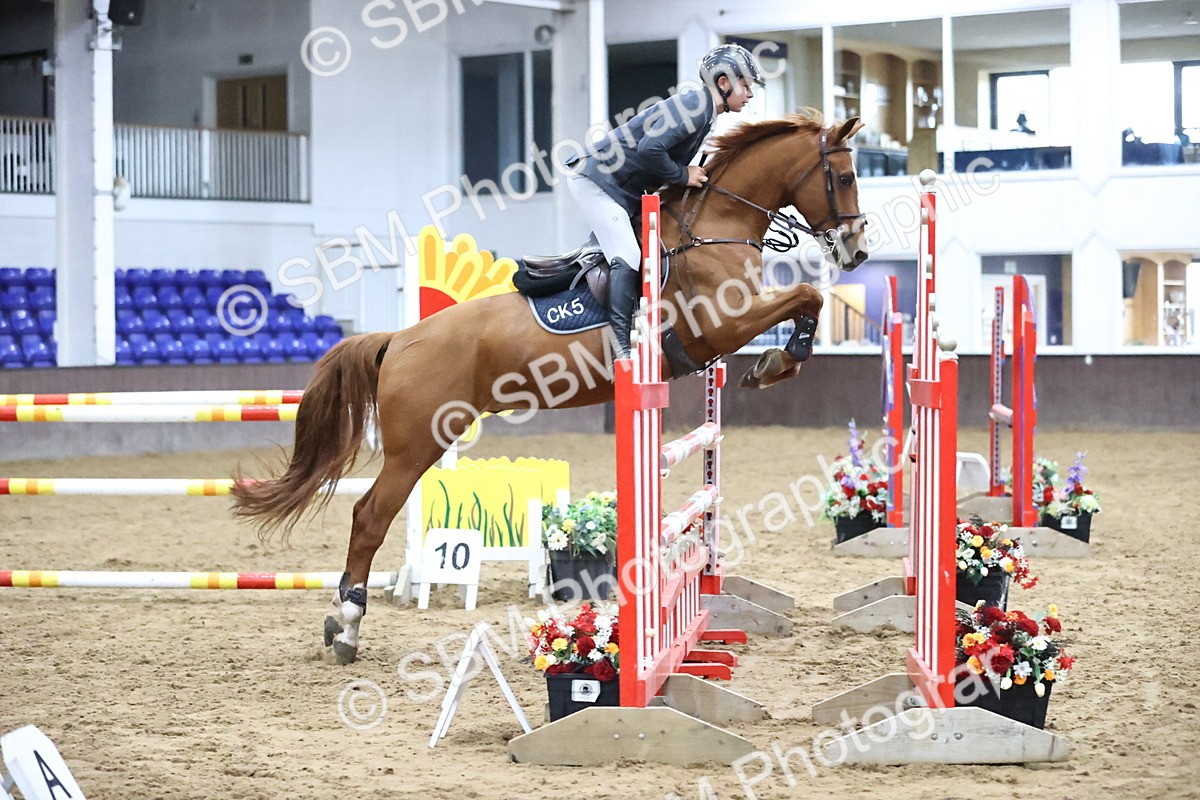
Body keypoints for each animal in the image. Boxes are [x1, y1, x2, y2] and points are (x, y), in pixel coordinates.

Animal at [231, 111, 869, 663]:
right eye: (844, 176)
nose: (858, 249)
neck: (713, 231)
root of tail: (401, 338)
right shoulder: (721, 326)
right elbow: (806, 297)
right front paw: (781, 359)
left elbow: (803, 302)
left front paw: (773, 365)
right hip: (418, 444)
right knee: (369, 516)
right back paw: (347, 626)